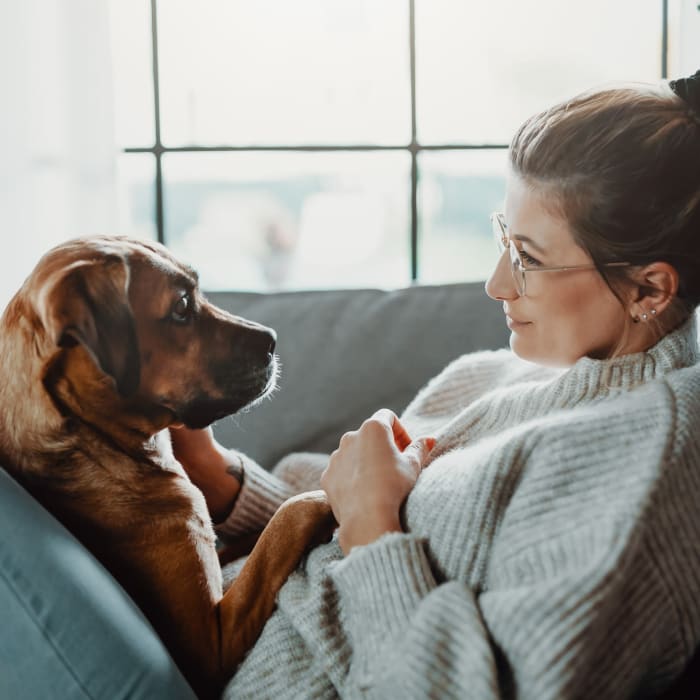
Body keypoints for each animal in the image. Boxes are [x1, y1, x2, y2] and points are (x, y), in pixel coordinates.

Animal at [0, 237, 336, 700]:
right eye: (181, 307)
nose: (273, 339)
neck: (95, 443)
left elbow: (255, 538)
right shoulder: (211, 643)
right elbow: (286, 520)